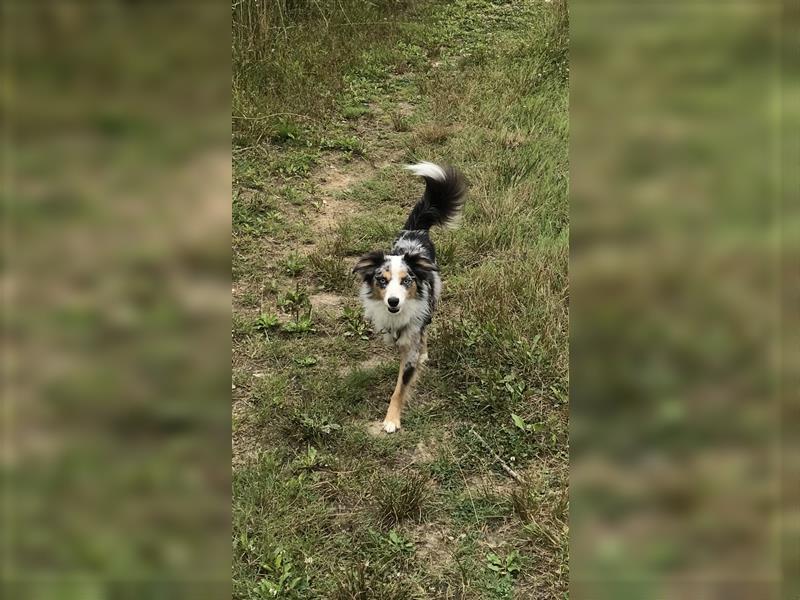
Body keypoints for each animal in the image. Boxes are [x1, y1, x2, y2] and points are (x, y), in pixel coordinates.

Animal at [354, 162, 466, 434]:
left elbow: (400, 387)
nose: (393, 301)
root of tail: (415, 231)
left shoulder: (412, 341)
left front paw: (392, 420)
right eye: (382, 280)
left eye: (407, 280)